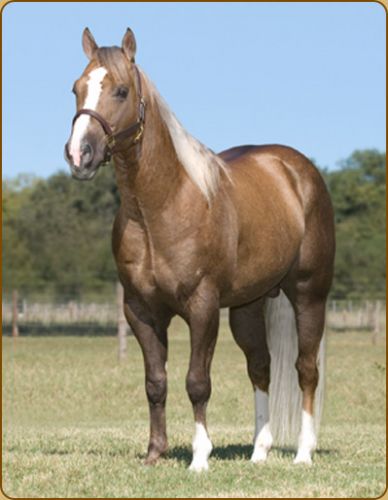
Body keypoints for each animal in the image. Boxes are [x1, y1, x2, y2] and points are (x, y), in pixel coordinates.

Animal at [65, 28, 334, 472]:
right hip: (248, 307)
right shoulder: (140, 311)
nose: (78, 154)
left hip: (309, 294)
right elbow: (155, 382)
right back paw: (259, 451)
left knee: (306, 368)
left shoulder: (202, 307)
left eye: (120, 90)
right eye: (77, 88)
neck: (161, 206)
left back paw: (303, 453)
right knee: (261, 367)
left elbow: (197, 382)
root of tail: (297, 170)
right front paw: (155, 453)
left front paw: (199, 457)